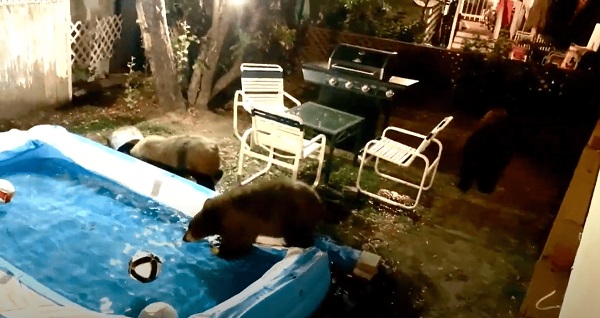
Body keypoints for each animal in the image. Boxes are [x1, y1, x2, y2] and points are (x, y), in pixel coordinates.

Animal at [183, 179, 340, 258]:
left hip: (295, 217)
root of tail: (320, 204)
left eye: (190, 225)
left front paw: (220, 250)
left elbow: (236, 241)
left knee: (299, 235)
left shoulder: (240, 221)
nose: (184, 238)